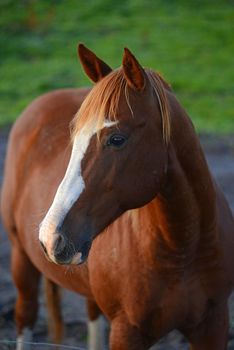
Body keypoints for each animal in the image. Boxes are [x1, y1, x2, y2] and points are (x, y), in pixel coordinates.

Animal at [0, 44, 234, 350]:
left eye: (117, 139)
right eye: (74, 139)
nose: (51, 237)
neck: (182, 249)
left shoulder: (213, 325)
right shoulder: (127, 332)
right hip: (21, 259)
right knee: (25, 314)